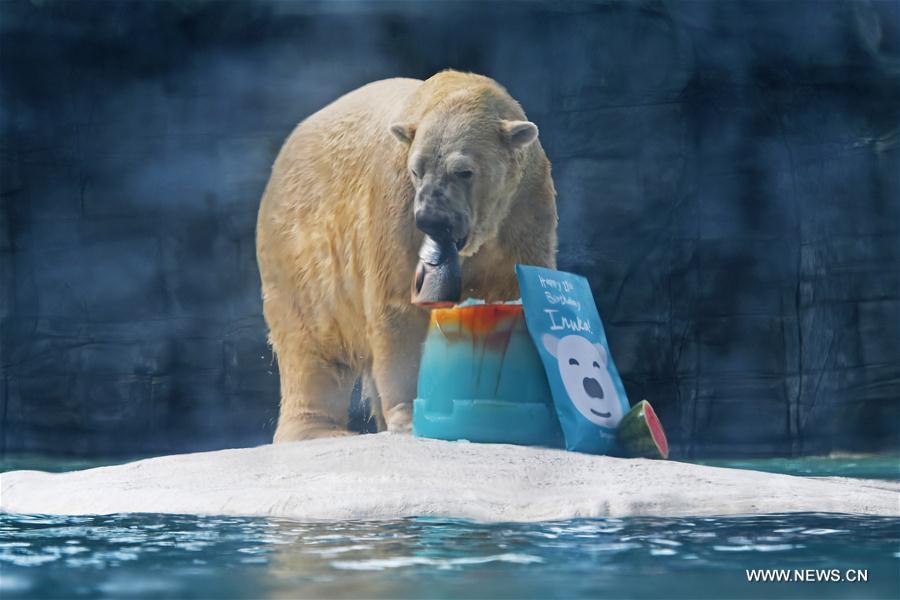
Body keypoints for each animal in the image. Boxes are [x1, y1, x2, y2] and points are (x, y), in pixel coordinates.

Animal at [256, 70, 558, 442]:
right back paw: (318, 430)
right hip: (299, 252)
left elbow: (514, 294)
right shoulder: (396, 201)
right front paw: (412, 417)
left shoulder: (524, 208)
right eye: (417, 169)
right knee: (311, 343)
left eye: (464, 171)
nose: (430, 219)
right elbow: (399, 303)